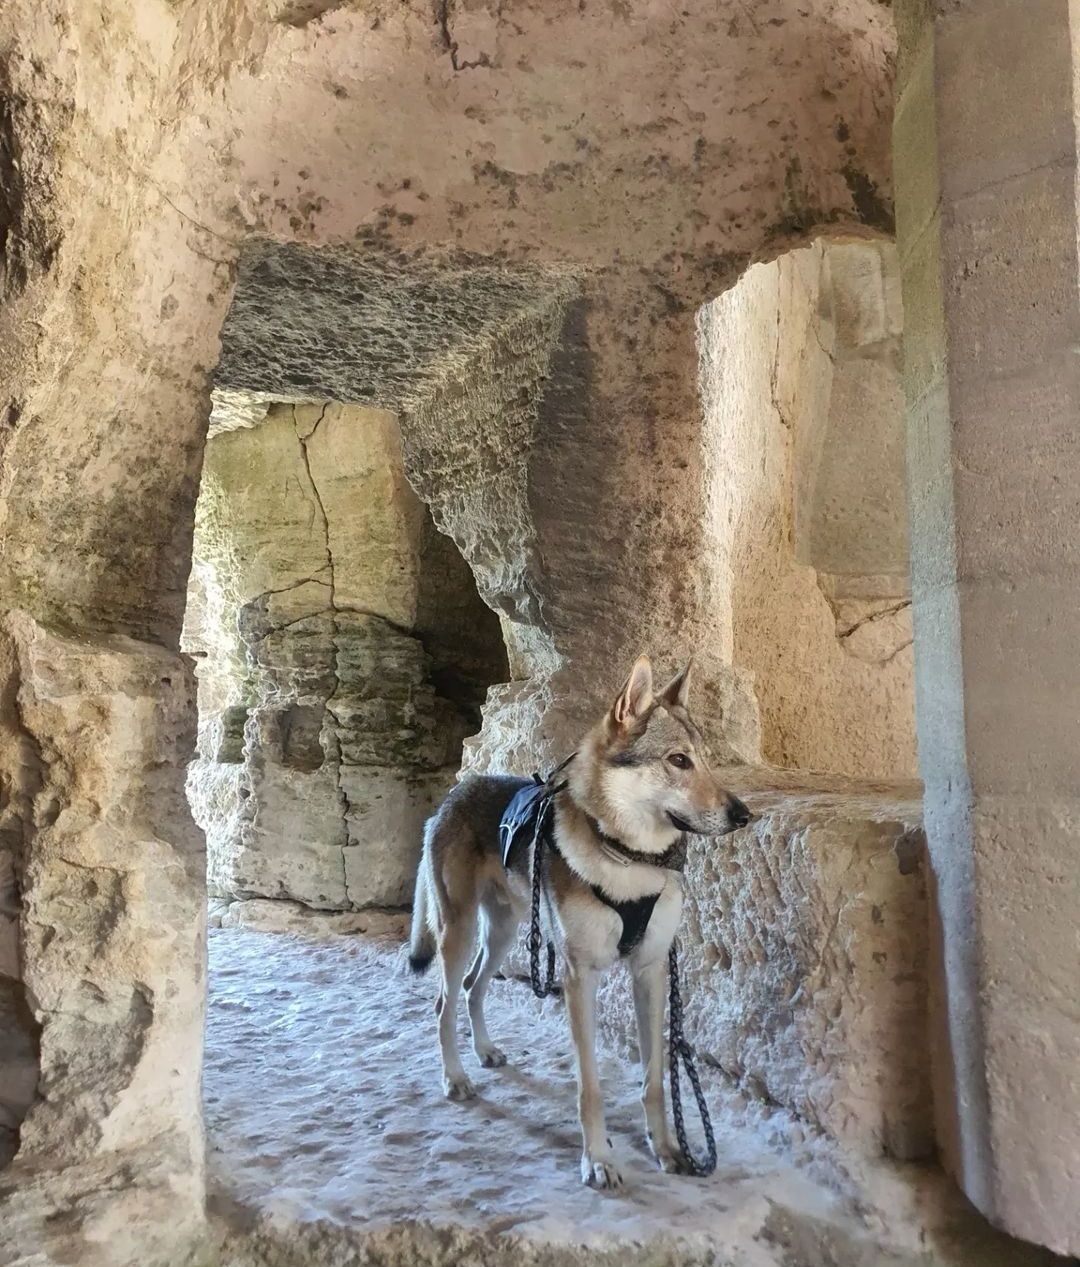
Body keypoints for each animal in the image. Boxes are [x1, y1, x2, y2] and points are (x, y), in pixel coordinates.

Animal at [405, 653, 750, 1185]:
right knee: (444, 1002)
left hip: (506, 933)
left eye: (708, 760)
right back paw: (456, 1077)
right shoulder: (578, 978)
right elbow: (590, 1086)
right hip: (457, 934)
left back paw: (486, 1052)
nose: (743, 814)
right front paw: (598, 1159)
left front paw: (668, 1149)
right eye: (678, 760)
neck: (629, 861)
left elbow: (654, 1080)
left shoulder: (650, 973)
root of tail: (457, 790)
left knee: (471, 988)